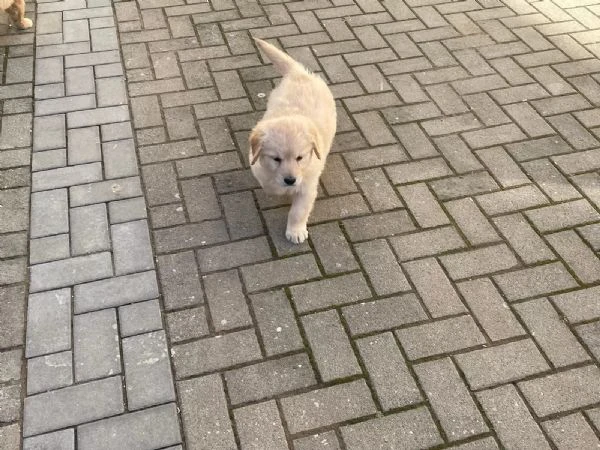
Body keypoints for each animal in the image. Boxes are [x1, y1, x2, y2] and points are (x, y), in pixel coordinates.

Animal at [246, 37, 336, 243]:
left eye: (300, 158)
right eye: (276, 158)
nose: (290, 180)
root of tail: (299, 73)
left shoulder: (308, 185)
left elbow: (298, 211)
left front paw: (295, 231)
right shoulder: (256, 164)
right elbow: (268, 183)